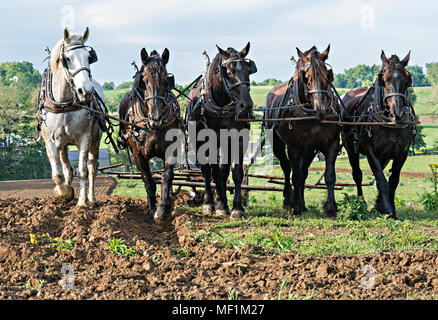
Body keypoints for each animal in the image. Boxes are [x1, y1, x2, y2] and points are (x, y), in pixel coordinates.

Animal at [39, 26, 104, 208]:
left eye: (89, 57)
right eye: (67, 59)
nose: (86, 91)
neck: (63, 104)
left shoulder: (84, 138)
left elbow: (82, 171)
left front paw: (81, 202)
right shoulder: (50, 141)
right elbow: (58, 173)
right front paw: (64, 192)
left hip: (95, 141)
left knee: (92, 168)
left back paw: (91, 198)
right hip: (63, 144)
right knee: (66, 168)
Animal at [187, 43, 256, 220]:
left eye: (248, 70)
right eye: (229, 73)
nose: (246, 106)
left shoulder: (238, 139)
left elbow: (234, 173)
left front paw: (237, 208)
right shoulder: (208, 141)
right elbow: (213, 172)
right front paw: (217, 205)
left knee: (221, 171)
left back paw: (221, 202)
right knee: (208, 171)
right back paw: (210, 203)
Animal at [264, 45, 342, 216]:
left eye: (327, 75)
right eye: (307, 77)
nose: (321, 110)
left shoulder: (331, 144)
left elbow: (329, 176)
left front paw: (331, 208)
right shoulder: (294, 147)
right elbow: (296, 177)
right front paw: (297, 206)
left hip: (309, 150)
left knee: (303, 171)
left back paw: (302, 203)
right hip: (278, 144)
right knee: (287, 169)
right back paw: (289, 200)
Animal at [342, 51, 414, 219]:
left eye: (407, 80)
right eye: (384, 80)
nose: (397, 113)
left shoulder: (403, 151)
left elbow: (393, 180)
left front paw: (387, 207)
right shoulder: (370, 151)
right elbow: (381, 179)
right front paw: (388, 210)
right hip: (350, 148)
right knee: (357, 174)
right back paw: (361, 202)